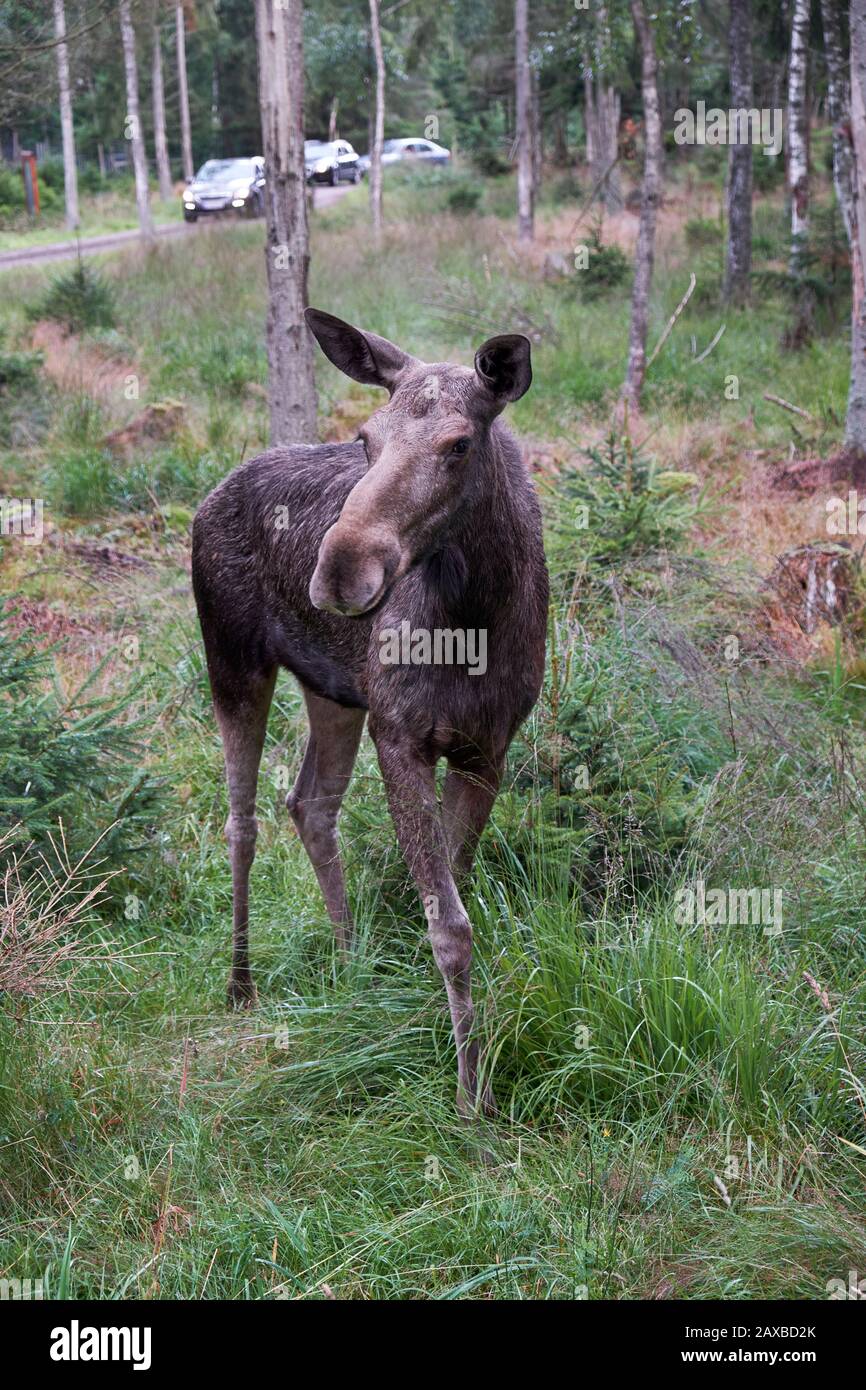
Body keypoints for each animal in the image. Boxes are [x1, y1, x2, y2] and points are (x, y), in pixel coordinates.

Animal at [194, 309, 547, 1112]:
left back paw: (350, 955)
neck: (476, 618)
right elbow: (450, 925)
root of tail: (211, 492)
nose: (339, 569)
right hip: (234, 664)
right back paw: (240, 981)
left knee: (309, 804)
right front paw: (469, 1095)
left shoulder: (486, 748)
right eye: (366, 438)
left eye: (459, 443)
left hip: (333, 691)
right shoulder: (401, 734)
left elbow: (449, 895)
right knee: (241, 822)